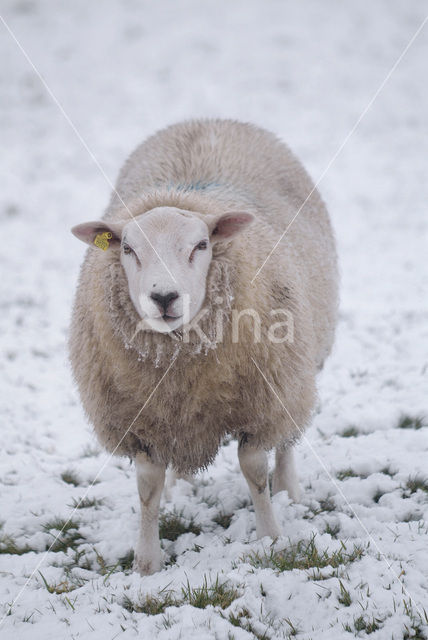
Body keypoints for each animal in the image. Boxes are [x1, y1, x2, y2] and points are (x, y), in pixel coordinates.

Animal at [69, 120, 338, 576]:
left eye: (201, 246)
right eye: (128, 249)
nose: (163, 297)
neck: (180, 364)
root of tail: (209, 120)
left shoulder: (261, 399)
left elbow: (254, 471)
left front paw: (270, 537)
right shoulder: (142, 419)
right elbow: (147, 486)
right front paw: (147, 562)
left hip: (296, 368)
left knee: (287, 435)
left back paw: (289, 489)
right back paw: (180, 488)